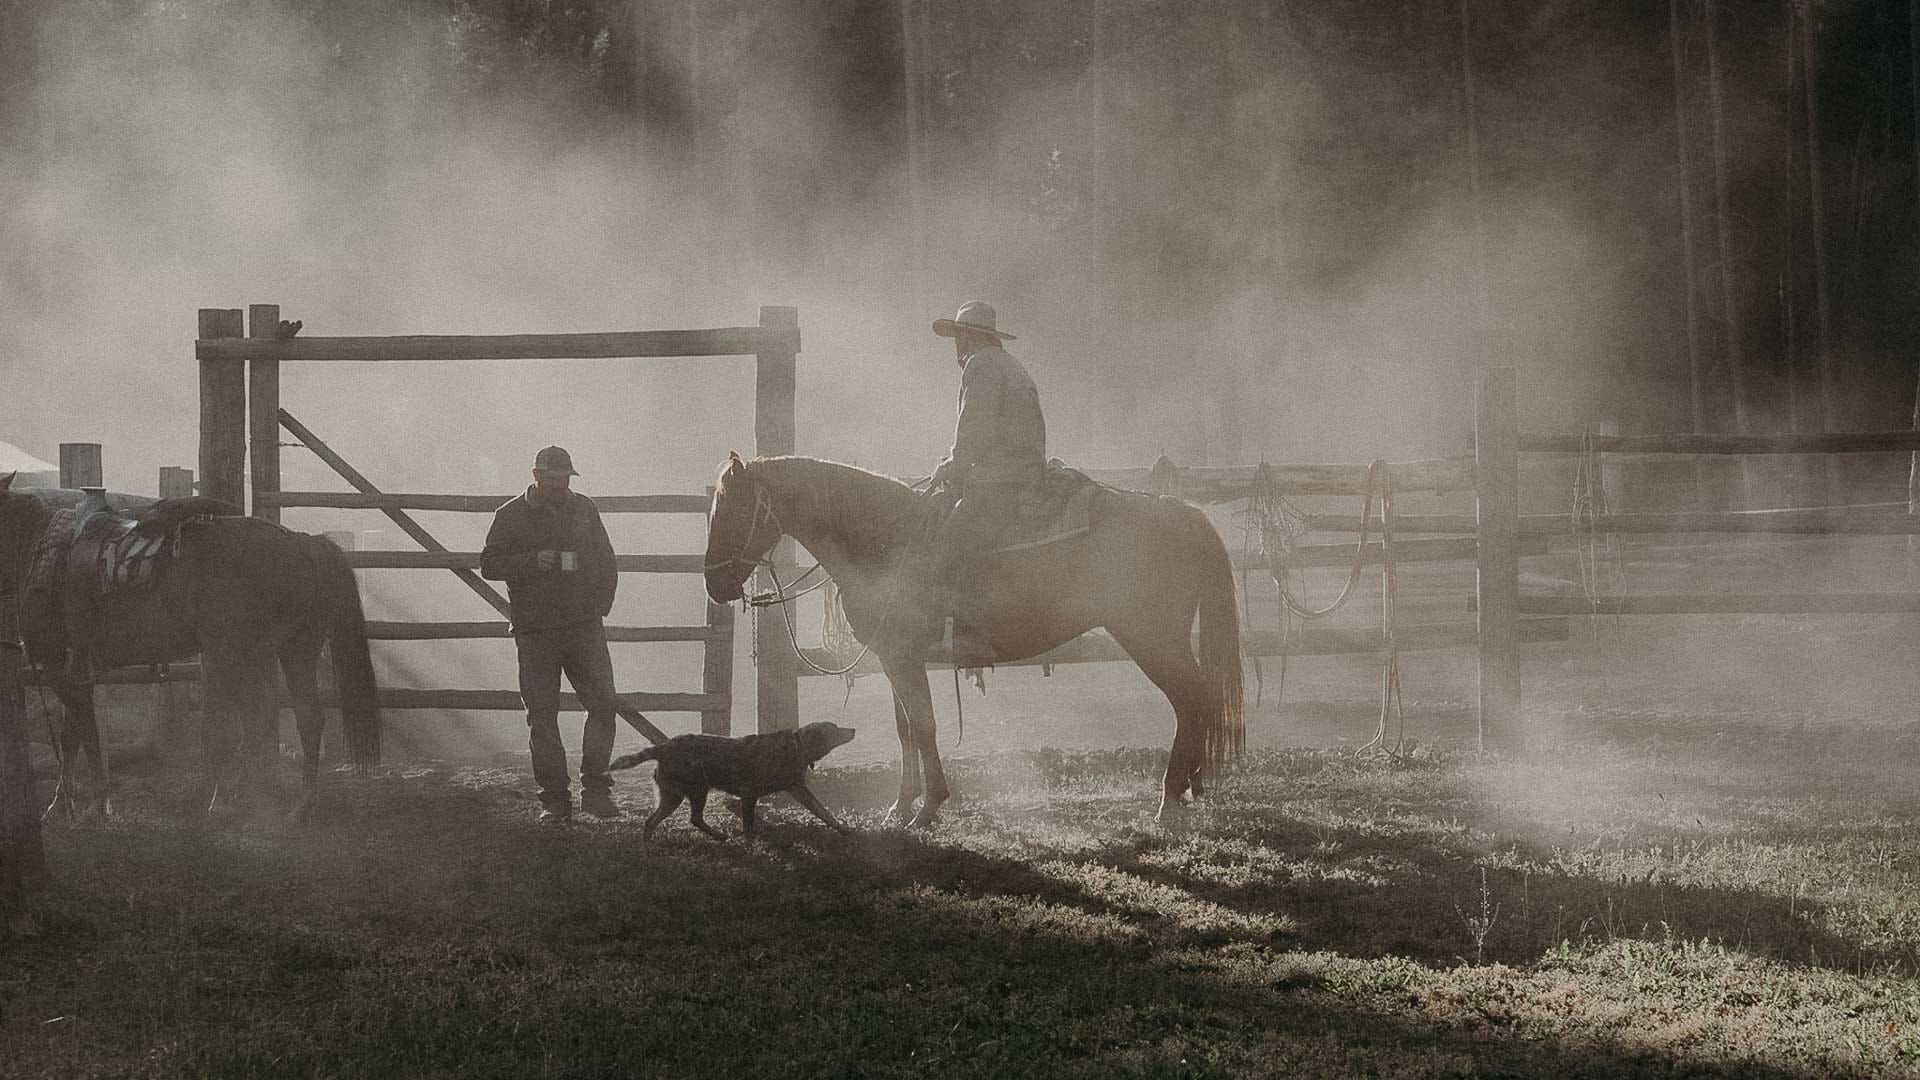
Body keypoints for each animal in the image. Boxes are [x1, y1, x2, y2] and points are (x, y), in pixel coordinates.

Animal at [0, 470, 380, 814]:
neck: (36, 546)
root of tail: (301, 542)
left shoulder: (56, 664)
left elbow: (81, 732)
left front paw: (89, 805)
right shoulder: (74, 667)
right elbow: (75, 732)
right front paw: (73, 803)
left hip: (234, 654)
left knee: (254, 721)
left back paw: (229, 799)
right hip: (292, 652)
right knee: (299, 718)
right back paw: (292, 801)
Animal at [610, 718, 860, 837]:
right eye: (835, 728)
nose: (854, 730)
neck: (797, 746)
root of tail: (664, 747)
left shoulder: (798, 789)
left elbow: (823, 812)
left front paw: (843, 829)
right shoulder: (749, 794)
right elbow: (748, 825)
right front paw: (753, 843)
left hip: (673, 796)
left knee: (652, 822)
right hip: (695, 791)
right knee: (692, 819)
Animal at [706, 453, 1244, 822]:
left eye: (730, 510)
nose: (714, 584)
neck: (884, 538)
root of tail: (1180, 512)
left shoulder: (902, 658)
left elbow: (924, 727)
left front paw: (928, 808)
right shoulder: (896, 657)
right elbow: (905, 729)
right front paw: (900, 807)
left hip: (1151, 638)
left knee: (1189, 698)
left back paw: (1170, 798)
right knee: (1199, 698)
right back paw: (1190, 787)